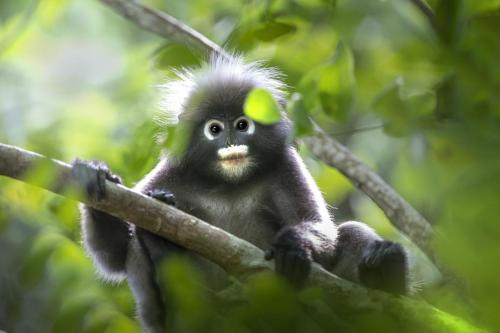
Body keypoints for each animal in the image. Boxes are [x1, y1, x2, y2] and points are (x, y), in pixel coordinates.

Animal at [73, 54, 410, 332]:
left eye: (242, 124)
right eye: (215, 129)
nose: (232, 144)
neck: (228, 184)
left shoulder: (285, 164)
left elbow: (318, 225)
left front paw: (293, 245)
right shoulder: (169, 174)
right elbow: (115, 256)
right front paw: (95, 173)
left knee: (350, 232)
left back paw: (388, 271)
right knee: (137, 250)